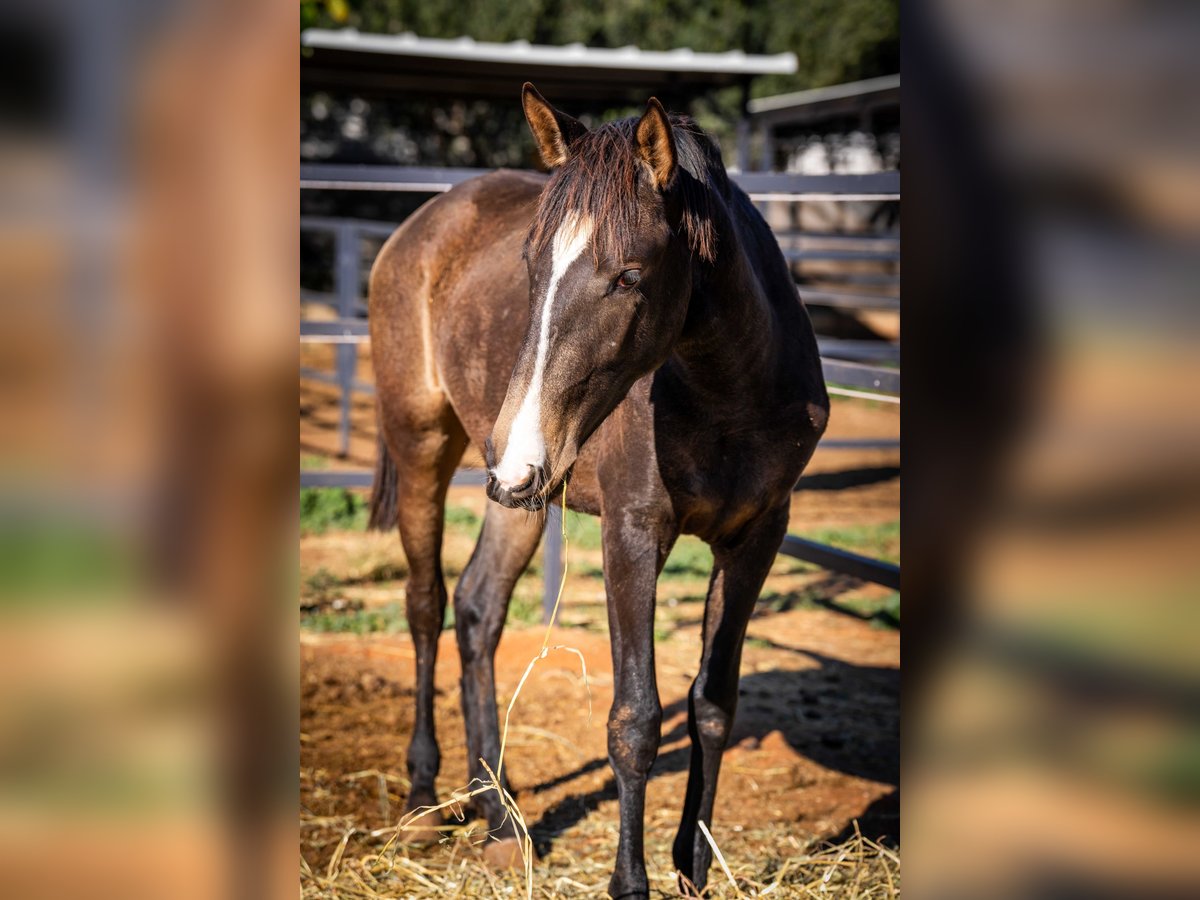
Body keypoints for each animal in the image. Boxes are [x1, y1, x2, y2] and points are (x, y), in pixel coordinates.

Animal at [364, 82, 830, 897]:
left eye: (629, 276)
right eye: (531, 265)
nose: (526, 445)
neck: (729, 396)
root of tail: (421, 222)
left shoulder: (757, 538)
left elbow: (712, 704)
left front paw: (693, 869)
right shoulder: (633, 533)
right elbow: (635, 720)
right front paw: (630, 882)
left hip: (517, 493)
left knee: (478, 610)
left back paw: (499, 821)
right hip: (429, 446)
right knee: (424, 605)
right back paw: (424, 798)